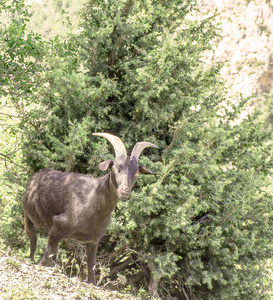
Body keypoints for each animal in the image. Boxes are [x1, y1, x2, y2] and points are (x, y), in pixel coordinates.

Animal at [23, 133, 156, 284]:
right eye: (114, 168)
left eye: (137, 173)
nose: (125, 191)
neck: (91, 201)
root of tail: (36, 175)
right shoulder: (57, 227)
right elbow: (46, 257)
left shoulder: (94, 240)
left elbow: (91, 266)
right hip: (27, 216)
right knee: (33, 240)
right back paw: (31, 259)